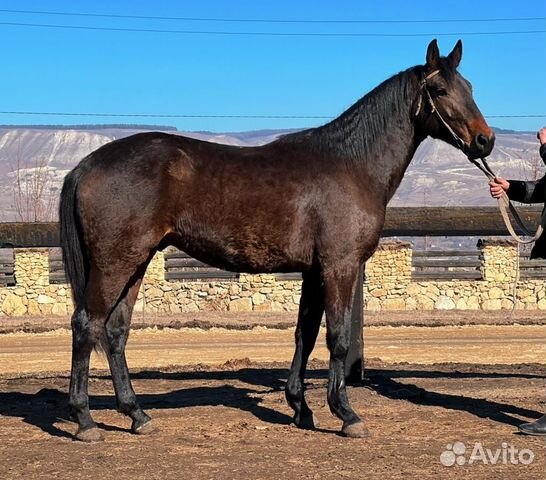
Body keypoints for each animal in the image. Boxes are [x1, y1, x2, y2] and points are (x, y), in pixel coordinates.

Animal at [59, 39, 492, 440]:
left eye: (469, 86)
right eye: (440, 89)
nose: (485, 140)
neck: (352, 164)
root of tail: (85, 165)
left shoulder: (313, 271)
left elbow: (306, 334)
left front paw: (302, 408)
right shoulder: (340, 266)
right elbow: (337, 338)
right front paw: (346, 414)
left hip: (137, 262)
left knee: (115, 330)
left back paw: (137, 415)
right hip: (116, 263)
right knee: (87, 324)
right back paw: (85, 421)